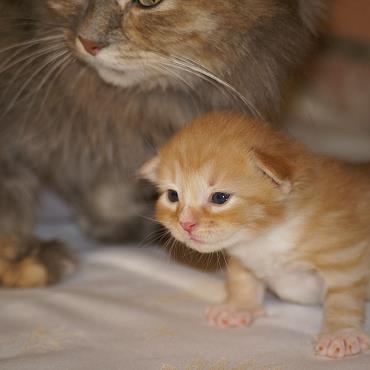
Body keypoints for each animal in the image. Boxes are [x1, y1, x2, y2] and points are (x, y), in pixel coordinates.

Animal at [141, 112, 370, 358]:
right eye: (173, 196)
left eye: (220, 198)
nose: (185, 224)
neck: (267, 235)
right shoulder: (242, 256)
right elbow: (242, 279)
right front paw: (238, 307)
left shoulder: (344, 257)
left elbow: (342, 298)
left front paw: (340, 333)